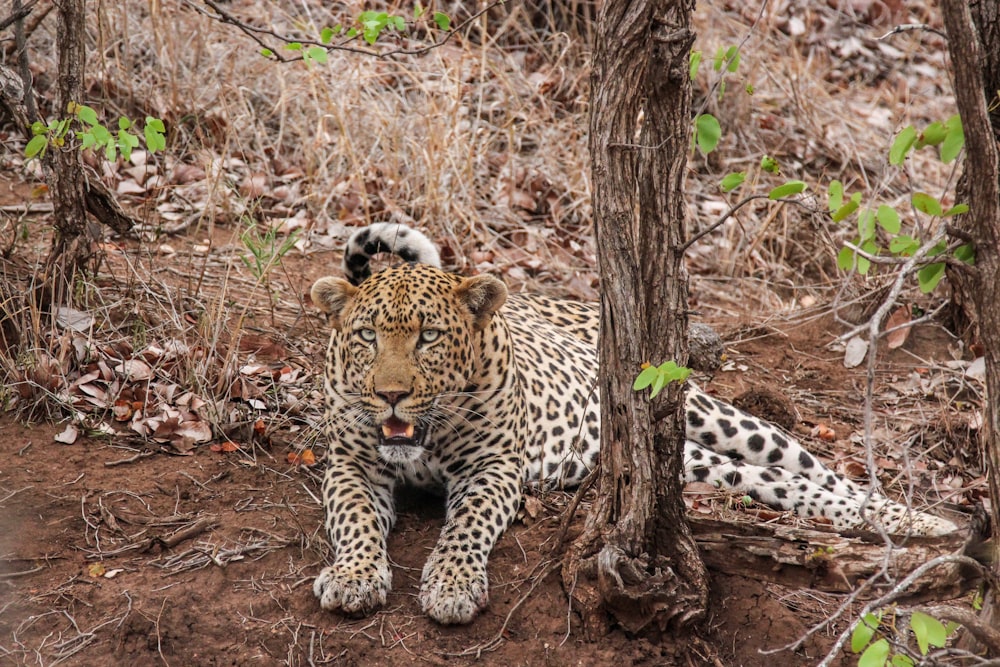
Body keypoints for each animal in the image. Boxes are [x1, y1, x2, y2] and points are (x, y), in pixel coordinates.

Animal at [308, 223, 956, 628]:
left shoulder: (492, 467)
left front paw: (449, 585)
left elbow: (466, 526)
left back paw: (922, 525)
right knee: (765, 480)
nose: (391, 395)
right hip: (670, 458)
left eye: (429, 337)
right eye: (366, 336)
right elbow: (355, 520)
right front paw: (353, 577)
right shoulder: (351, 463)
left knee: (809, 470)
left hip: (710, 416)